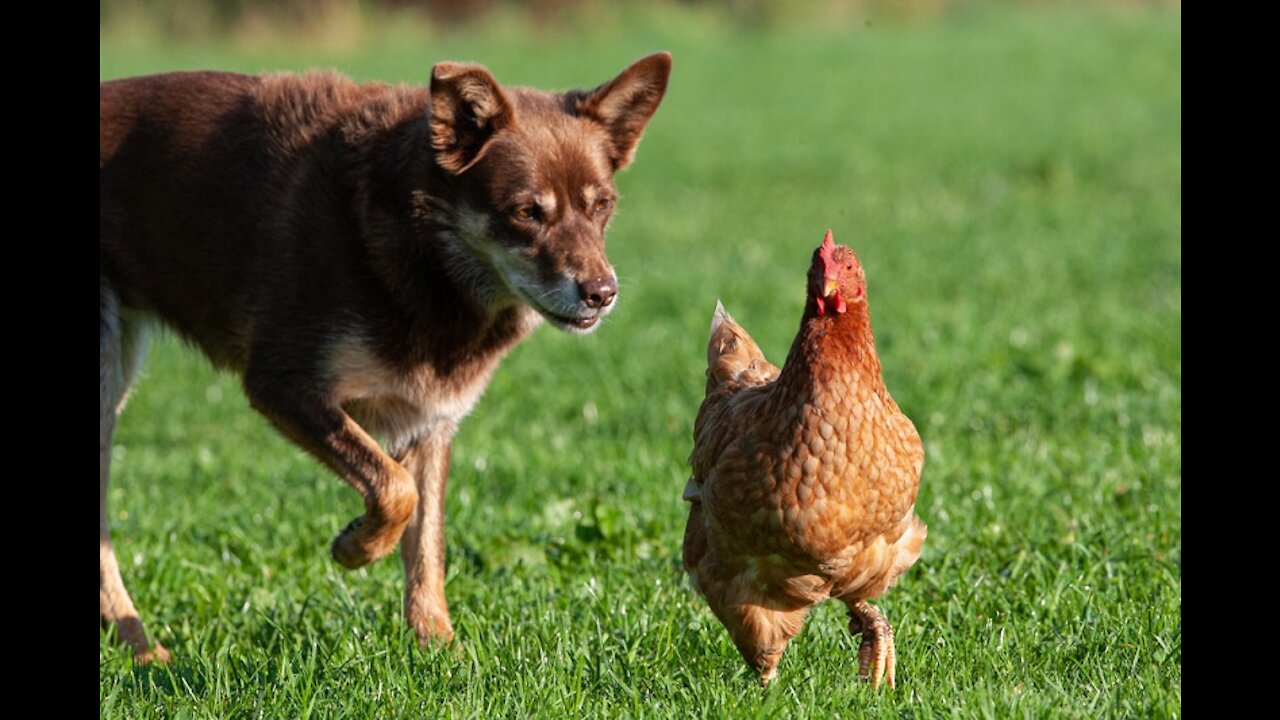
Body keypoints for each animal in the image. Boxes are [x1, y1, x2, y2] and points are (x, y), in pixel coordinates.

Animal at [99, 53, 670, 661]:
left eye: (602, 205)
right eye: (525, 212)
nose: (603, 293)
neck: (423, 250)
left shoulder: (432, 419)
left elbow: (426, 543)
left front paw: (438, 646)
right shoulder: (283, 382)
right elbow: (395, 489)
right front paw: (355, 547)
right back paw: (141, 649)